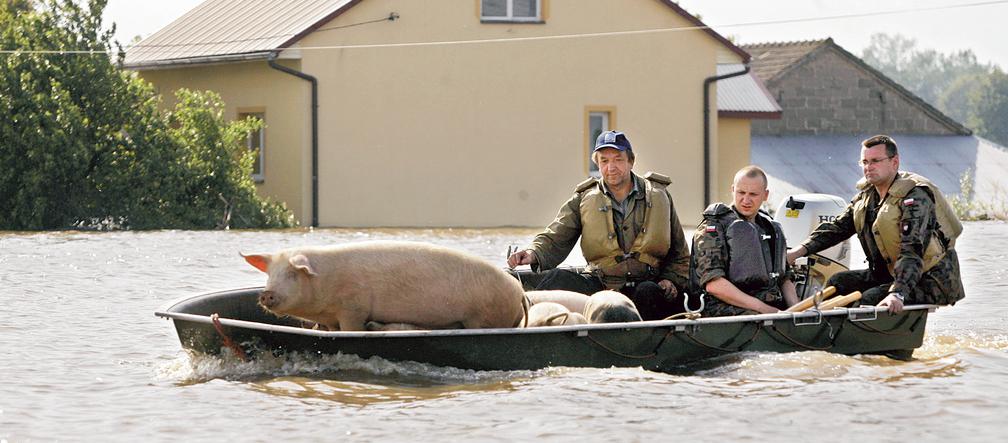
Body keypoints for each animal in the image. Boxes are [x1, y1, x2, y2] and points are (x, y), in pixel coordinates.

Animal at [241, 241, 528, 330]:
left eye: (292, 273)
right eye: (270, 273)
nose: (266, 294)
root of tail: (520, 292)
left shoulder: (353, 309)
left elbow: (352, 331)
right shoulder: (331, 318)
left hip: (484, 319)